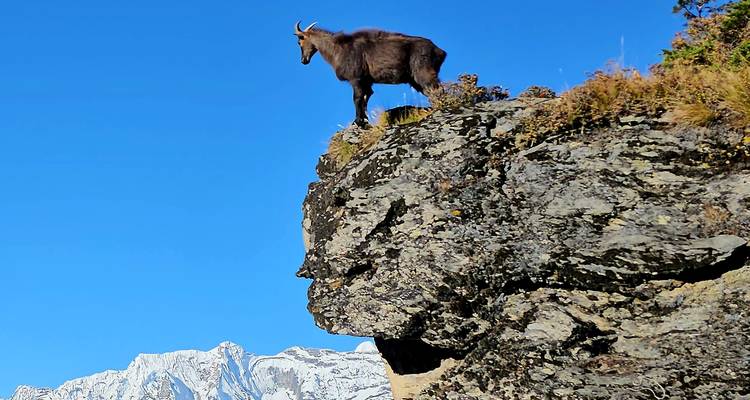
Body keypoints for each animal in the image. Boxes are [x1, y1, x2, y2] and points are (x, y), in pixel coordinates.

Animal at [294, 21, 447, 127]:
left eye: (299, 41)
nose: (303, 60)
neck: (337, 49)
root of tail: (440, 51)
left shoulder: (356, 79)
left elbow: (357, 99)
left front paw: (358, 121)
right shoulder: (367, 82)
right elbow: (366, 99)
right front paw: (364, 120)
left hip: (423, 72)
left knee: (437, 89)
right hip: (415, 80)